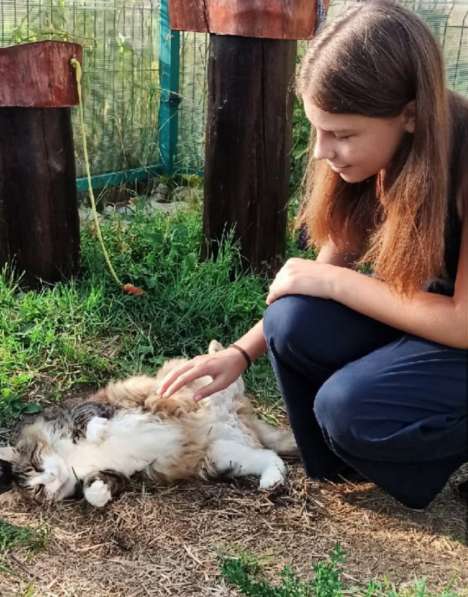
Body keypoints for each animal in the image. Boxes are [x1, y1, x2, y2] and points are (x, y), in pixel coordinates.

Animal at [0, 340, 298, 508]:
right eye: (38, 488)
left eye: (37, 463)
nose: (49, 477)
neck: (70, 460)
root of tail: (236, 415)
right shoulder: (119, 473)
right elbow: (96, 493)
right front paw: (98, 492)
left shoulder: (90, 406)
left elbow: (88, 421)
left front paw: (100, 432)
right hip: (223, 454)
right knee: (270, 457)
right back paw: (270, 482)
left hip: (201, 384)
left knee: (227, 372)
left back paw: (215, 350)